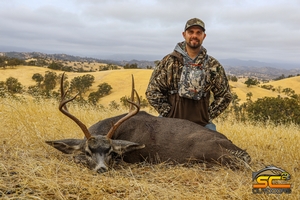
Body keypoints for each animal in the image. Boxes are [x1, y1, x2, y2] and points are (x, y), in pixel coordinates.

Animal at [45, 72, 251, 173]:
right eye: (88, 151)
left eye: (111, 151)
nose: (102, 169)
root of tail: (243, 153)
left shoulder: (131, 158)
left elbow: (74, 157)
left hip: (208, 152)